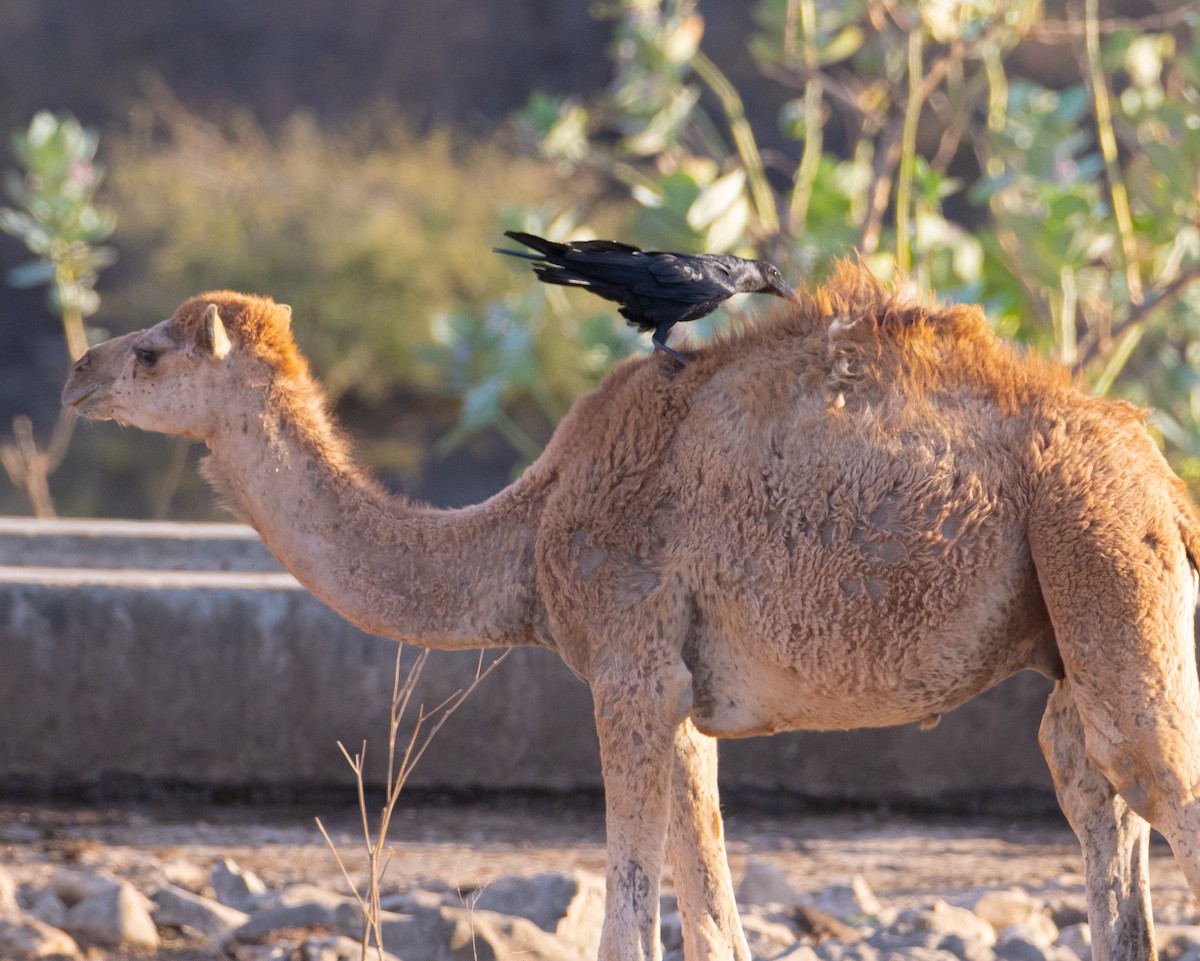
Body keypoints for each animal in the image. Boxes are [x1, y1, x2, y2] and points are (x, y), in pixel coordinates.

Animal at [63, 263, 1200, 959]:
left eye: (154, 352)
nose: (79, 371)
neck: (527, 532)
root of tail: (1161, 477)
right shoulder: (686, 703)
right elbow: (715, 921)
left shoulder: (630, 667)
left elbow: (627, 922)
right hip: (1081, 610)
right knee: (1089, 776)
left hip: (1099, 539)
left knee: (1154, 771)